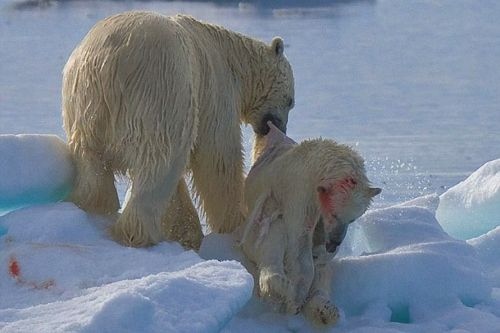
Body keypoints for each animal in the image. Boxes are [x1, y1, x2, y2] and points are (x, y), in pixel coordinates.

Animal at [61, 11, 292, 248]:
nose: (280, 129)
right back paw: (139, 232)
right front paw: (234, 223)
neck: (233, 57)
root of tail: (108, 63)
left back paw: (93, 207)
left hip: (84, 103)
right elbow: (218, 158)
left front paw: (186, 232)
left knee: (91, 161)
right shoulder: (216, 89)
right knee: (158, 163)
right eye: (290, 101)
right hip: (159, 90)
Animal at [240, 122, 380, 324]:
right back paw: (279, 286)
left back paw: (325, 310)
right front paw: (294, 302)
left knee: (323, 270)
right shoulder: (300, 192)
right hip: (257, 223)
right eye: (334, 214)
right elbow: (300, 243)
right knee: (273, 237)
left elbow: (321, 259)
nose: (335, 242)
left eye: (352, 219)